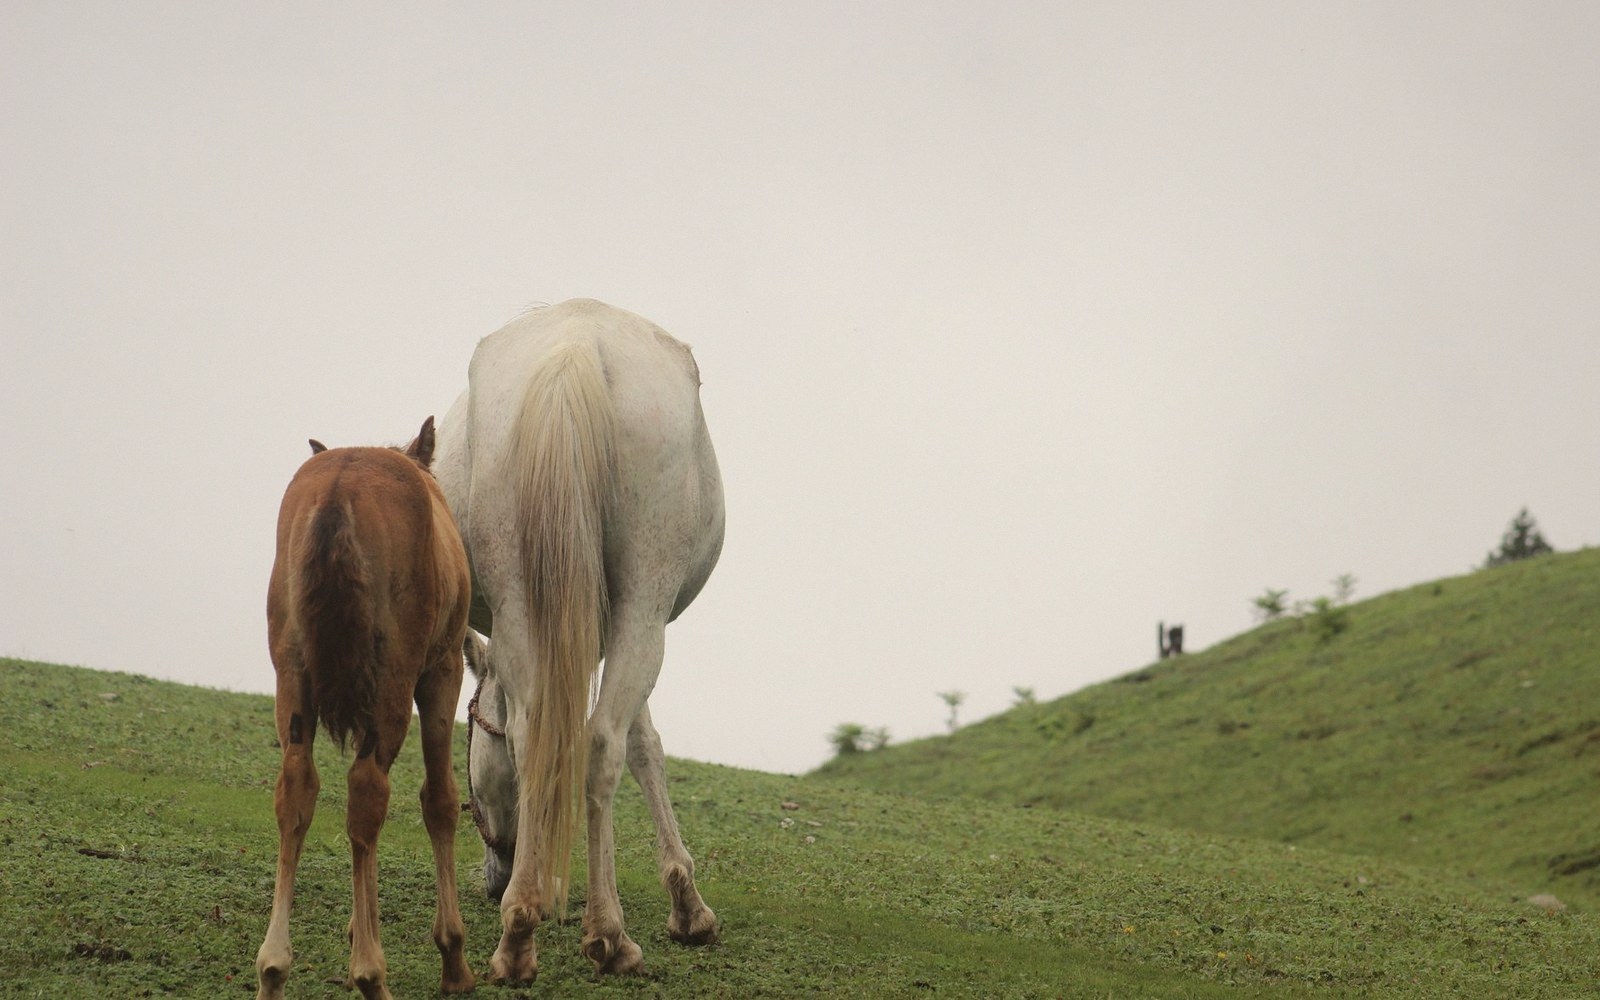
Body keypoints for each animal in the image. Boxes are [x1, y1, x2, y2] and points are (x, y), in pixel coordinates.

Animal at [256, 417, 475, 1000]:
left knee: (296, 790)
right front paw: (453, 955)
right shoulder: (444, 671)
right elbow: (441, 800)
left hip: (294, 680)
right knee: (367, 792)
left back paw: (273, 968)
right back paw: (370, 973)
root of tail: (338, 490)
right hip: (394, 686)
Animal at [434, 298, 724, 982]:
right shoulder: (631, 622)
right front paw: (687, 906)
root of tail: (576, 346)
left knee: (534, 734)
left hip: (519, 598)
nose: (492, 877)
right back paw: (608, 934)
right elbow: (643, 746)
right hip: (644, 604)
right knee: (600, 743)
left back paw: (518, 934)